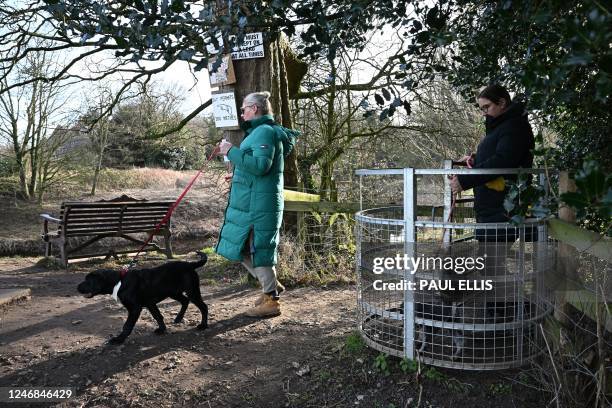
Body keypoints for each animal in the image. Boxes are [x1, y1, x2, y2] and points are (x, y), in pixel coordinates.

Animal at [76, 255, 209, 344]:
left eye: (88, 280)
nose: (77, 287)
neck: (119, 281)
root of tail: (190, 264)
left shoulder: (135, 308)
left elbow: (127, 325)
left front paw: (119, 339)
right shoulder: (150, 303)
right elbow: (158, 316)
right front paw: (162, 329)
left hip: (191, 291)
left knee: (203, 306)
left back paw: (203, 325)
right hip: (174, 292)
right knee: (185, 301)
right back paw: (178, 318)